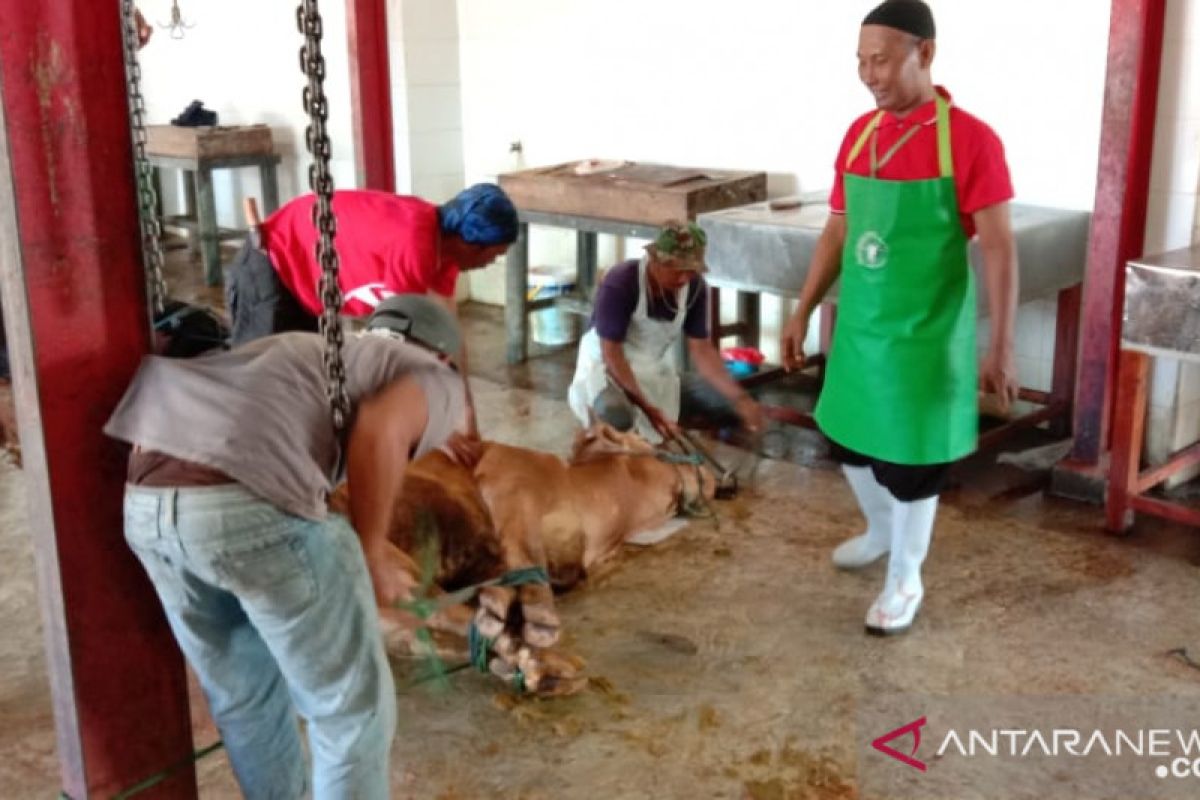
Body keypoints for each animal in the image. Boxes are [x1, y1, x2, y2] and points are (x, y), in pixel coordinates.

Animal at [328, 424, 710, 695]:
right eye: (644, 437)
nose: (710, 469)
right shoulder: (515, 516)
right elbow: (532, 589)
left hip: (393, 624)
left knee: (441, 639)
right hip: (396, 572)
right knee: (453, 617)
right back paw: (550, 665)